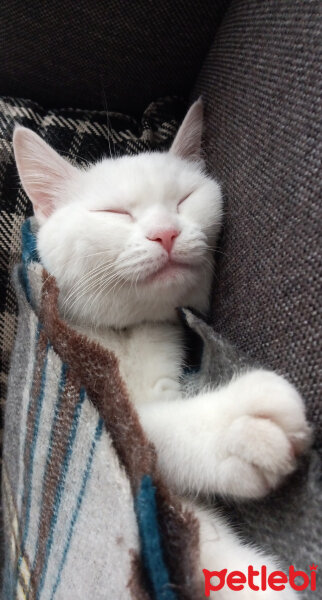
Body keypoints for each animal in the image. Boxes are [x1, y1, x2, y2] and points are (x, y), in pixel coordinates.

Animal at [13, 101, 312, 596]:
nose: (166, 232)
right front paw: (233, 423)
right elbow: (137, 428)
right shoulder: (90, 377)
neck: (127, 334)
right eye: (115, 212)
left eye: (184, 200)